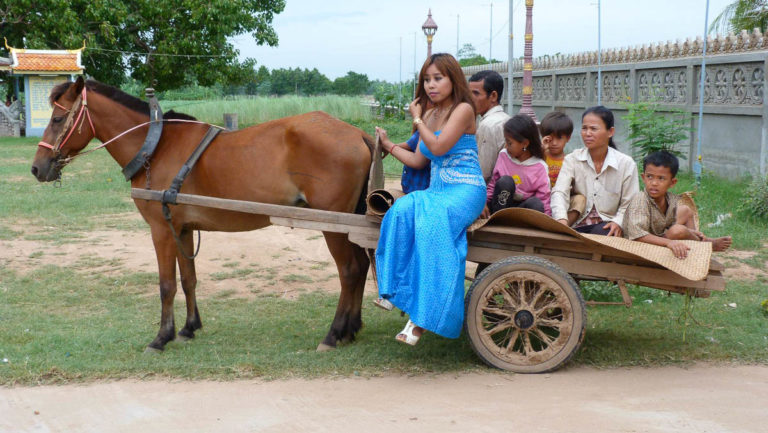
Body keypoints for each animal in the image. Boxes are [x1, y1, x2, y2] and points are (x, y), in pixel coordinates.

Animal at [31, 77, 374, 352]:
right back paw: (351, 328)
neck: (156, 148)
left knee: (349, 271)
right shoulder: (181, 228)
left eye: (58, 117)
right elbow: (188, 280)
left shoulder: (161, 229)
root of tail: (358, 134)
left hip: (332, 224)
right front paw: (188, 328)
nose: (37, 168)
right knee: (361, 265)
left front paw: (161, 337)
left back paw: (334, 334)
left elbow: (166, 285)